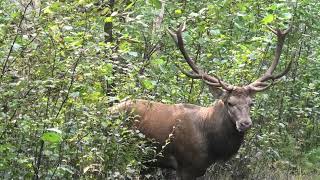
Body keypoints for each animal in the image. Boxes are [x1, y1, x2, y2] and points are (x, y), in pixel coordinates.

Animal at [110, 23, 292, 179]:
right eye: (229, 102)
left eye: (251, 103)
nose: (245, 123)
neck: (212, 147)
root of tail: (110, 110)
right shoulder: (187, 167)